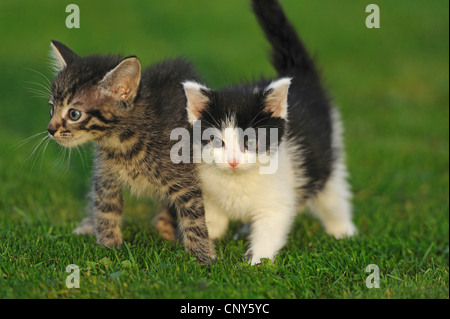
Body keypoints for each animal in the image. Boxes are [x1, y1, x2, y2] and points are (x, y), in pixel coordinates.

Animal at [46, 40, 215, 264]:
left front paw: (203, 258)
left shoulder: (185, 180)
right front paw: (109, 247)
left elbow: (194, 219)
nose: (50, 129)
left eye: (74, 114)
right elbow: (105, 210)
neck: (123, 142)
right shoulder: (105, 177)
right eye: (52, 108)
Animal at [179, 0, 356, 264]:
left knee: (333, 195)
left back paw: (343, 231)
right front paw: (205, 249)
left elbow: (269, 229)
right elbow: (211, 221)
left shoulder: (277, 200)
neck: (237, 181)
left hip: (327, 155)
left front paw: (256, 263)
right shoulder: (208, 194)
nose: (233, 161)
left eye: (250, 141)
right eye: (215, 141)